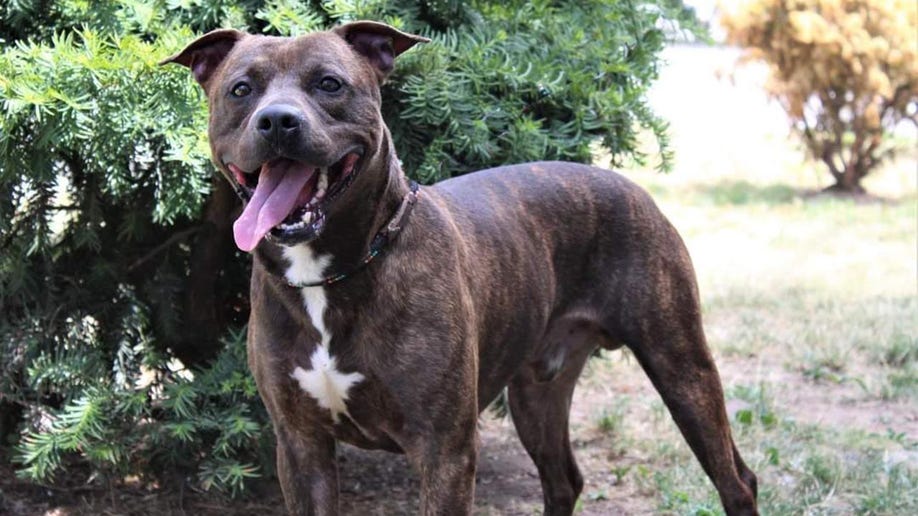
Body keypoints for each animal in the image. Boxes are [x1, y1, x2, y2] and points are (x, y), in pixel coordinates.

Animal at [164, 20, 756, 516]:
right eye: (241, 90)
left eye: (329, 84)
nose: (278, 121)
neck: (332, 276)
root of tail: (631, 185)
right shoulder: (300, 445)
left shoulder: (443, 451)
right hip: (537, 390)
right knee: (563, 479)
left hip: (680, 363)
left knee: (736, 479)